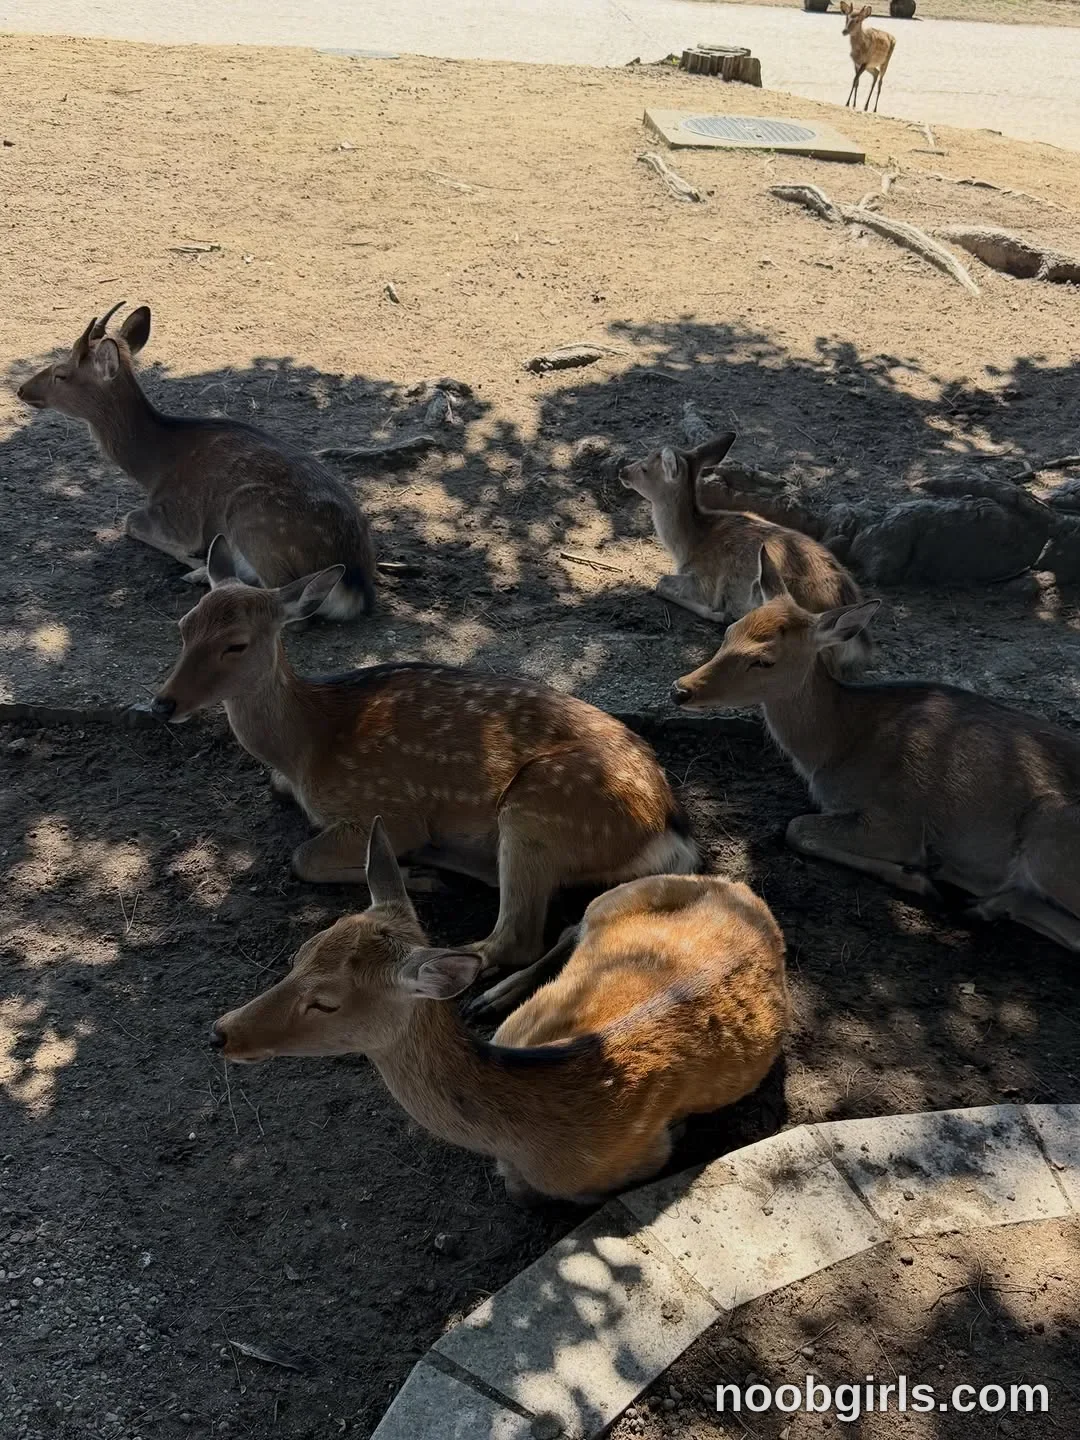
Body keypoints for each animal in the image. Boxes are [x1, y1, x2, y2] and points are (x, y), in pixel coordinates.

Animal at [16, 303, 376, 619]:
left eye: (61, 374)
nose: (21, 389)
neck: (153, 467)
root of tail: (356, 587)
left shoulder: (178, 515)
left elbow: (130, 521)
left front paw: (193, 562)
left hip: (252, 516)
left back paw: (204, 577)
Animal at [152, 536, 699, 970]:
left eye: (237, 644)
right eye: (183, 625)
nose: (163, 702)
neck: (304, 747)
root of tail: (671, 827)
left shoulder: (384, 808)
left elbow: (301, 857)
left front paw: (412, 873)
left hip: (539, 807)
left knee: (516, 938)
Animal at [210, 818, 789, 1204]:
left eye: (326, 1001)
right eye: (300, 953)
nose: (220, 1032)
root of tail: (742, 886)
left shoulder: (636, 1159)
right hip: (617, 895)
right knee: (570, 924)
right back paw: (492, 994)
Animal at [620, 432, 871, 675]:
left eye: (645, 468)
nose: (623, 470)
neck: (688, 545)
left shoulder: (704, 580)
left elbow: (661, 583)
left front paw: (717, 613)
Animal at [669, 547, 1080, 954]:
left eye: (764, 660)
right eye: (730, 631)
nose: (680, 689)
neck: (836, 748)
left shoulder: (898, 820)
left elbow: (797, 829)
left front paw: (918, 875)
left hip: (1049, 835)